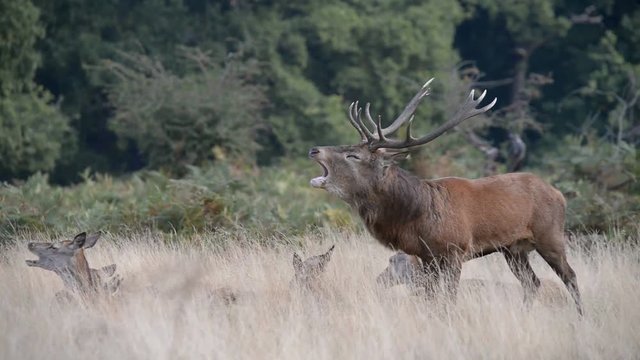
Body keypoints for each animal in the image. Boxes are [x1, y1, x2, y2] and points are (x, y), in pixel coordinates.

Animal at [310, 77, 584, 314]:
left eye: (353, 155)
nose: (315, 149)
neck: (416, 216)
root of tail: (559, 193)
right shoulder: (427, 256)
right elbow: (431, 297)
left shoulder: (455, 251)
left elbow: (449, 297)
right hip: (513, 249)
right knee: (532, 282)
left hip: (549, 235)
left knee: (570, 276)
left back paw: (581, 317)